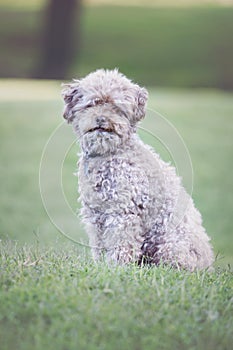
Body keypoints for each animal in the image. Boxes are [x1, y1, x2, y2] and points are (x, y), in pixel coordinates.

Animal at [61, 68, 213, 270]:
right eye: (91, 104)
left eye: (116, 108)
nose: (101, 119)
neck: (109, 156)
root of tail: (208, 263)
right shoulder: (96, 214)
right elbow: (100, 244)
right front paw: (101, 266)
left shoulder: (123, 213)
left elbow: (121, 244)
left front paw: (116, 268)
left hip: (170, 243)